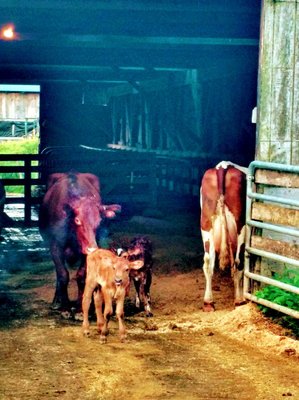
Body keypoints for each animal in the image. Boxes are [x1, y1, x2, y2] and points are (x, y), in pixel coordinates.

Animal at [38, 170, 119, 310]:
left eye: (99, 221)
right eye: (77, 220)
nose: (92, 248)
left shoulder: (86, 248)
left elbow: (81, 275)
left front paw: (81, 306)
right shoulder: (55, 246)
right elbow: (63, 275)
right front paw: (63, 304)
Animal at [202, 161, 248, 310]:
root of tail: (223, 165)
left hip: (206, 223)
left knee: (208, 261)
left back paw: (208, 302)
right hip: (240, 226)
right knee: (238, 262)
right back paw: (239, 300)